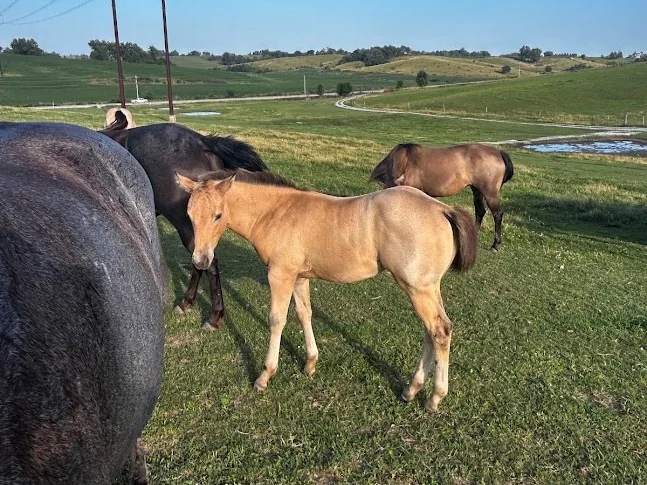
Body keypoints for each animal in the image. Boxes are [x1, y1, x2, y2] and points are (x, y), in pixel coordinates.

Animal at [175, 169, 477, 412]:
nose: (200, 260)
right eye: (189, 215)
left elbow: (277, 320)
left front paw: (264, 376)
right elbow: (304, 313)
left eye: (217, 215)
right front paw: (310, 363)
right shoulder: (299, 277)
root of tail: (442, 209)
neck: (276, 213)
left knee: (439, 331)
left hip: (417, 288)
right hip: (427, 288)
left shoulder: (280, 275)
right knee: (432, 331)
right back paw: (411, 389)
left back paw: (434, 398)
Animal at [370, 143, 514, 250]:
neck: (404, 163)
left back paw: (495, 245)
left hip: (489, 193)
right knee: (480, 211)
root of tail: (499, 153)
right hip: (477, 190)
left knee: (497, 214)